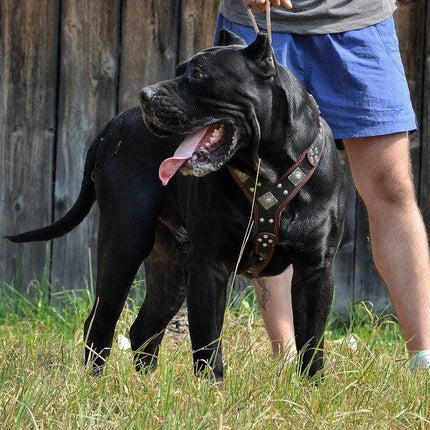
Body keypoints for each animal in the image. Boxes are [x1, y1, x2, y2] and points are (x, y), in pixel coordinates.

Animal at [7, 31, 346, 380]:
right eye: (181, 70)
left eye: (197, 74)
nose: (144, 94)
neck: (269, 172)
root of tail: (114, 123)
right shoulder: (208, 265)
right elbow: (208, 340)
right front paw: (212, 389)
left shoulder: (315, 270)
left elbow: (312, 340)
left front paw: (310, 387)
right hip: (124, 244)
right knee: (100, 320)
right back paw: (94, 382)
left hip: (170, 267)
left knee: (144, 328)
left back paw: (145, 385)